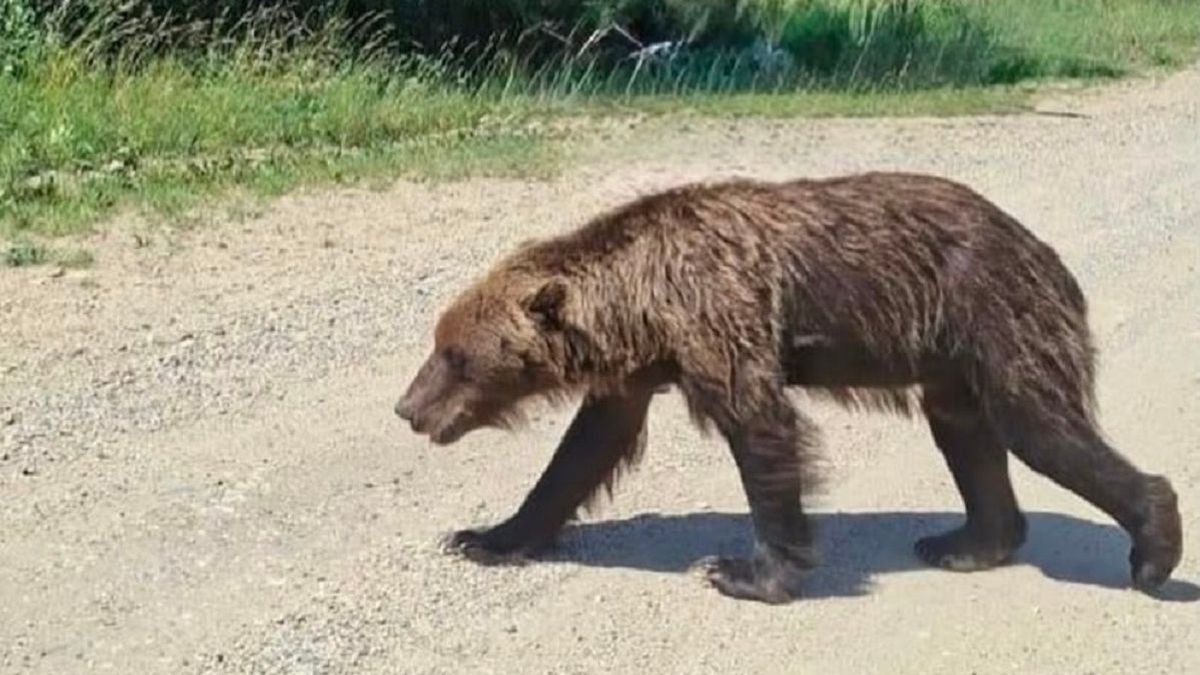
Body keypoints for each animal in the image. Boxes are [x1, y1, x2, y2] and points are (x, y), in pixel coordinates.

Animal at [394, 171, 1182, 604]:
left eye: (456, 355)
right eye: (438, 343)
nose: (407, 408)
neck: (643, 305)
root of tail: (1047, 252)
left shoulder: (721, 319)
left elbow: (762, 432)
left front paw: (746, 570)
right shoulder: (635, 373)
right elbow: (582, 451)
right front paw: (487, 536)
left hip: (994, 315)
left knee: (1041, 426)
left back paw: (1152, 549)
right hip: (951, 359)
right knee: (967, 434)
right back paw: (964, 541)